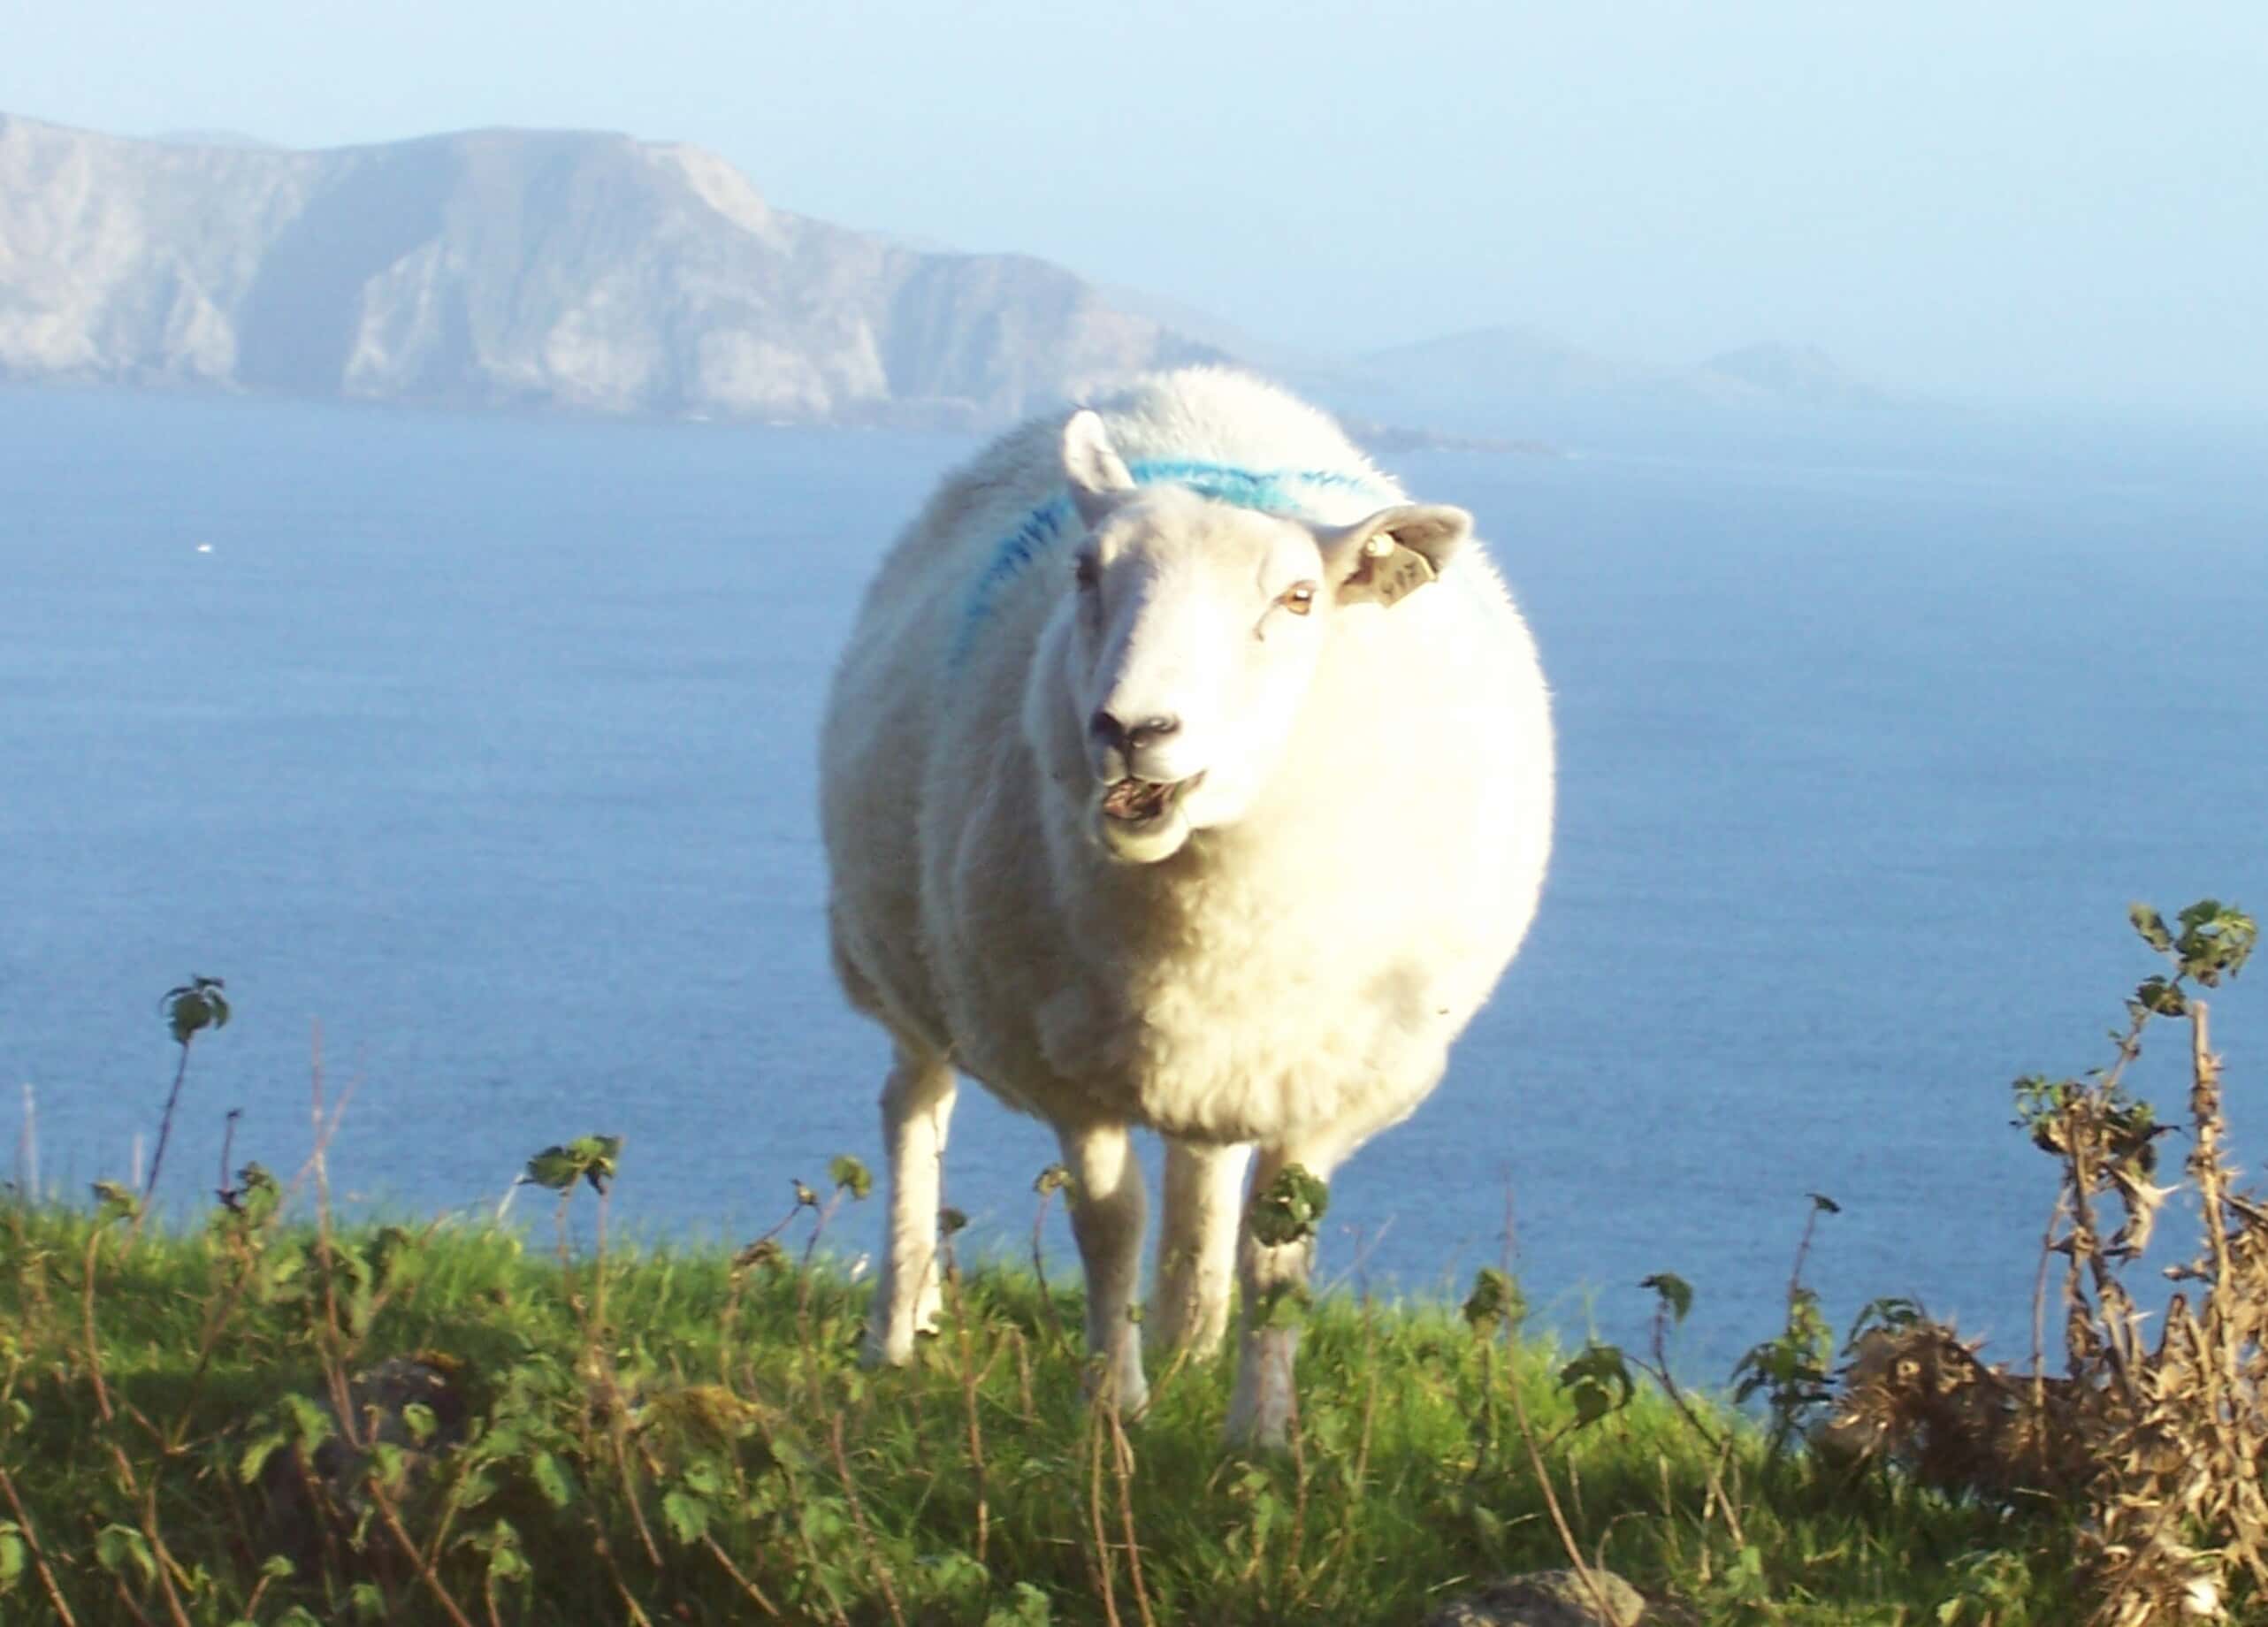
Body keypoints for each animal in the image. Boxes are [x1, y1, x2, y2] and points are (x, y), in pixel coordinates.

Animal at [821, 365, 1560, 1433]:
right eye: (1086, 573)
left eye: (1299, 597)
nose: (1132, 729)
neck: (1196, 894)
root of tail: (1196, 382)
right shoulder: (1064, 1062)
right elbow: (1108, 1224)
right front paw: (1112, 1404)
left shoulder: (1326, 1070)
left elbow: (1274, 1251)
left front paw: (1261, 1432)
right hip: (900, 956)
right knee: (915, 1104)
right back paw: (899, 1327)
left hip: (1221, 1047)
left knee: (1203, 1163)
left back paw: (1190, 1337)